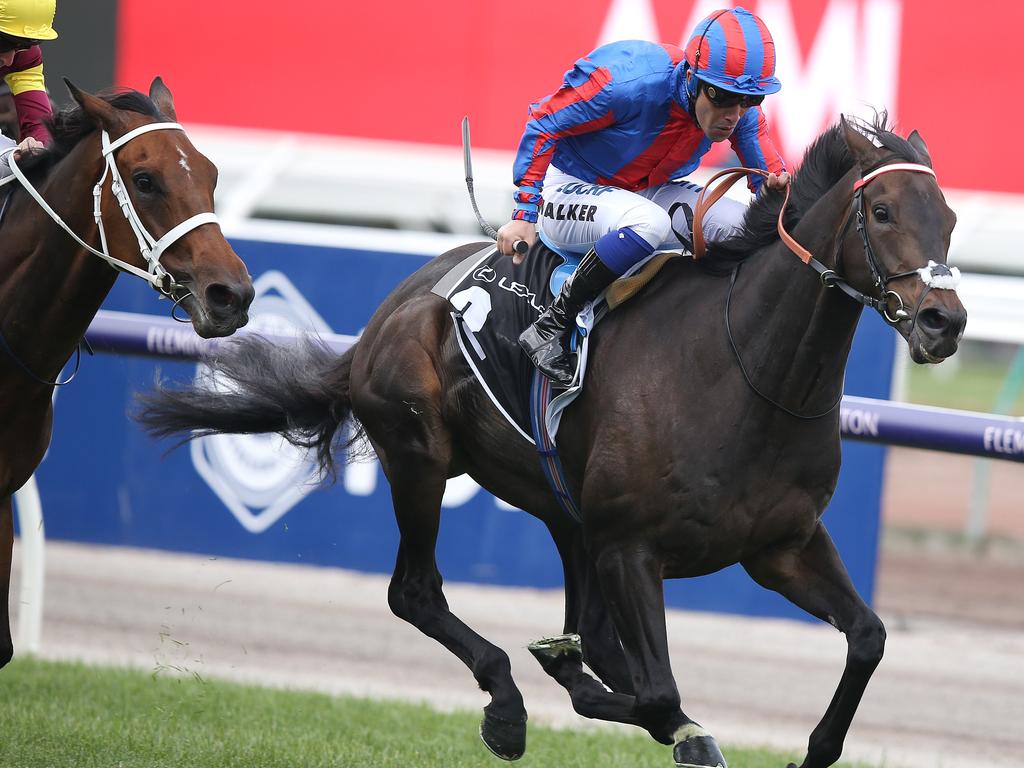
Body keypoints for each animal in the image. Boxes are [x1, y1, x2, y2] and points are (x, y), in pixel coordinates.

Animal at [136, 115, 966, 768]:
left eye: (950, 218)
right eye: (882, 211)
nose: (945, 321)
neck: (743, 369)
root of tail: (393, 308)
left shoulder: (780, 545)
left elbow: (869, 636)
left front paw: (810, 750)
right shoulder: (631, 547)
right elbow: (659, 692)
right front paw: (654, 720)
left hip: (565, 510)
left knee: (589, 631)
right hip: (421, 456)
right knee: (415, 591)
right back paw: (508, 702)